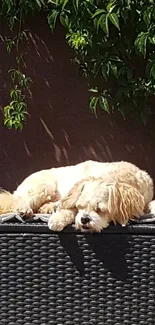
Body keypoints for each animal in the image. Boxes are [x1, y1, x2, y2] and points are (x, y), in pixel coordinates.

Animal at [0, 159, 154, 230]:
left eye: (100, 210)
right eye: (80, 206)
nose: (84, 219)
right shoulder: (73, 196)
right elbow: (69, 210)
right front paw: (58, 219)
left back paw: (49, 207)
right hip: (44, 186)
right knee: (19, 200)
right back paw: (24, 209)